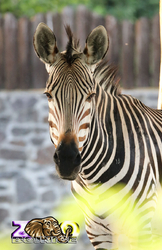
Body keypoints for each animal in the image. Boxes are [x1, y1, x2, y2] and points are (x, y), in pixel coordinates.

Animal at [33, 22, 162, 249]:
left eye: (90, 96)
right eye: (48, 95)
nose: (67, 160)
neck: (93, 178)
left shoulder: (142, 226)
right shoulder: (98, 232)